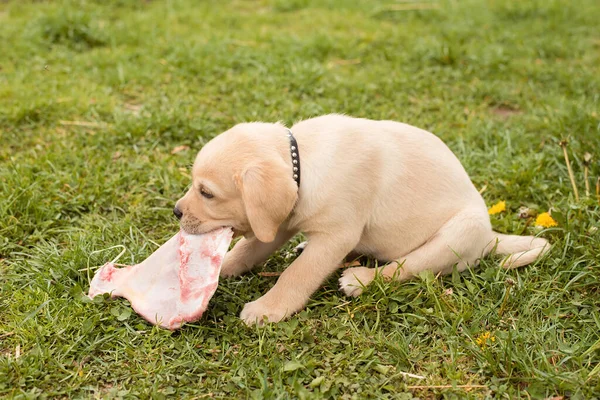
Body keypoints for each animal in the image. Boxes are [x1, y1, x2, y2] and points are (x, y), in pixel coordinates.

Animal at [172, 115, 548, 324]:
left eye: (206, 193)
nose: (176, 211)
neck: (303, 162)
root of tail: (490, 237)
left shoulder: (337, 235)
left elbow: (298, 274)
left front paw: (269, 308)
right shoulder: (281, 223)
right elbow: (249, 250)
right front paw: (221, 269)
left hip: (458, 233)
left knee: (405, 267)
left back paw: (361, 279)